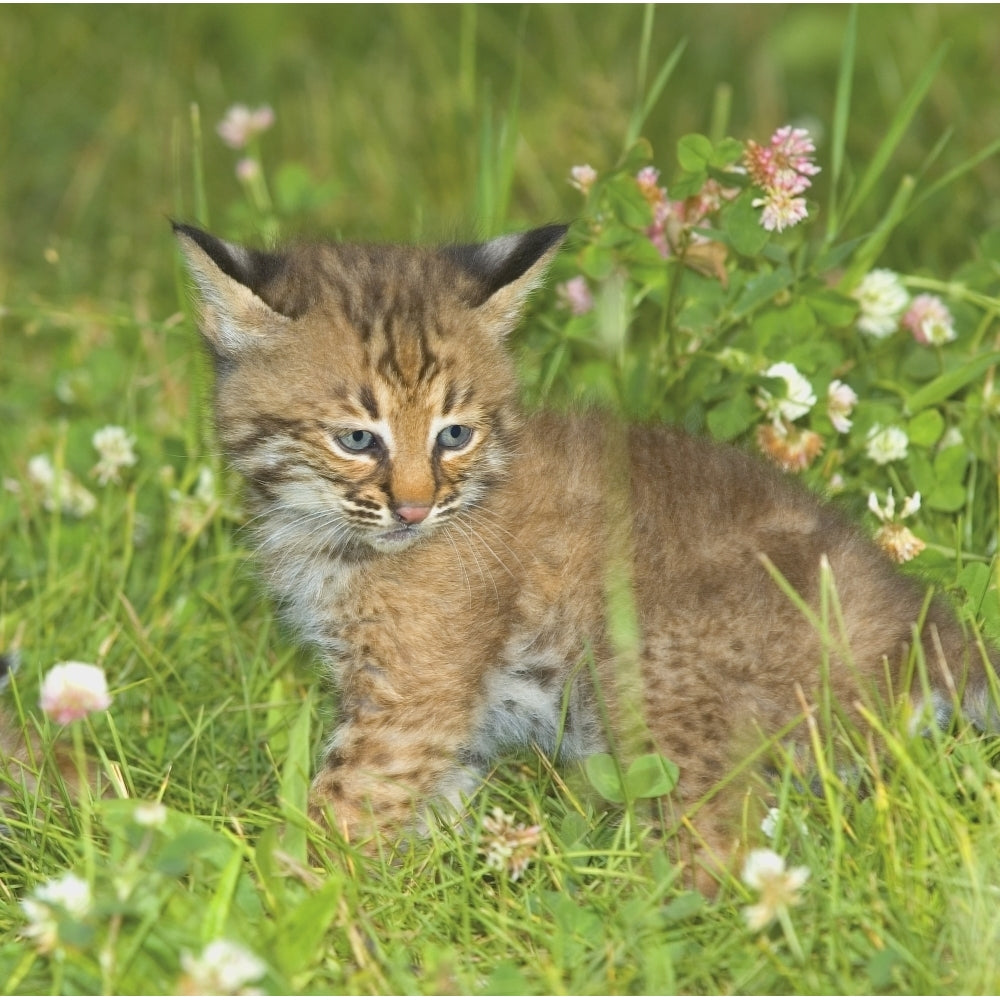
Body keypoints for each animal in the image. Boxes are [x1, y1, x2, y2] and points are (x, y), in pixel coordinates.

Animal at [176, 223, 996, 880]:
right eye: (356, 439)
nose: (414, 508)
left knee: (724, 847)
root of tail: (921, 616)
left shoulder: (410, 696)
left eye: (453, 434)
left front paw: (277, 898)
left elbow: (342, 803)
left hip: (644, 665)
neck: (332, 533)